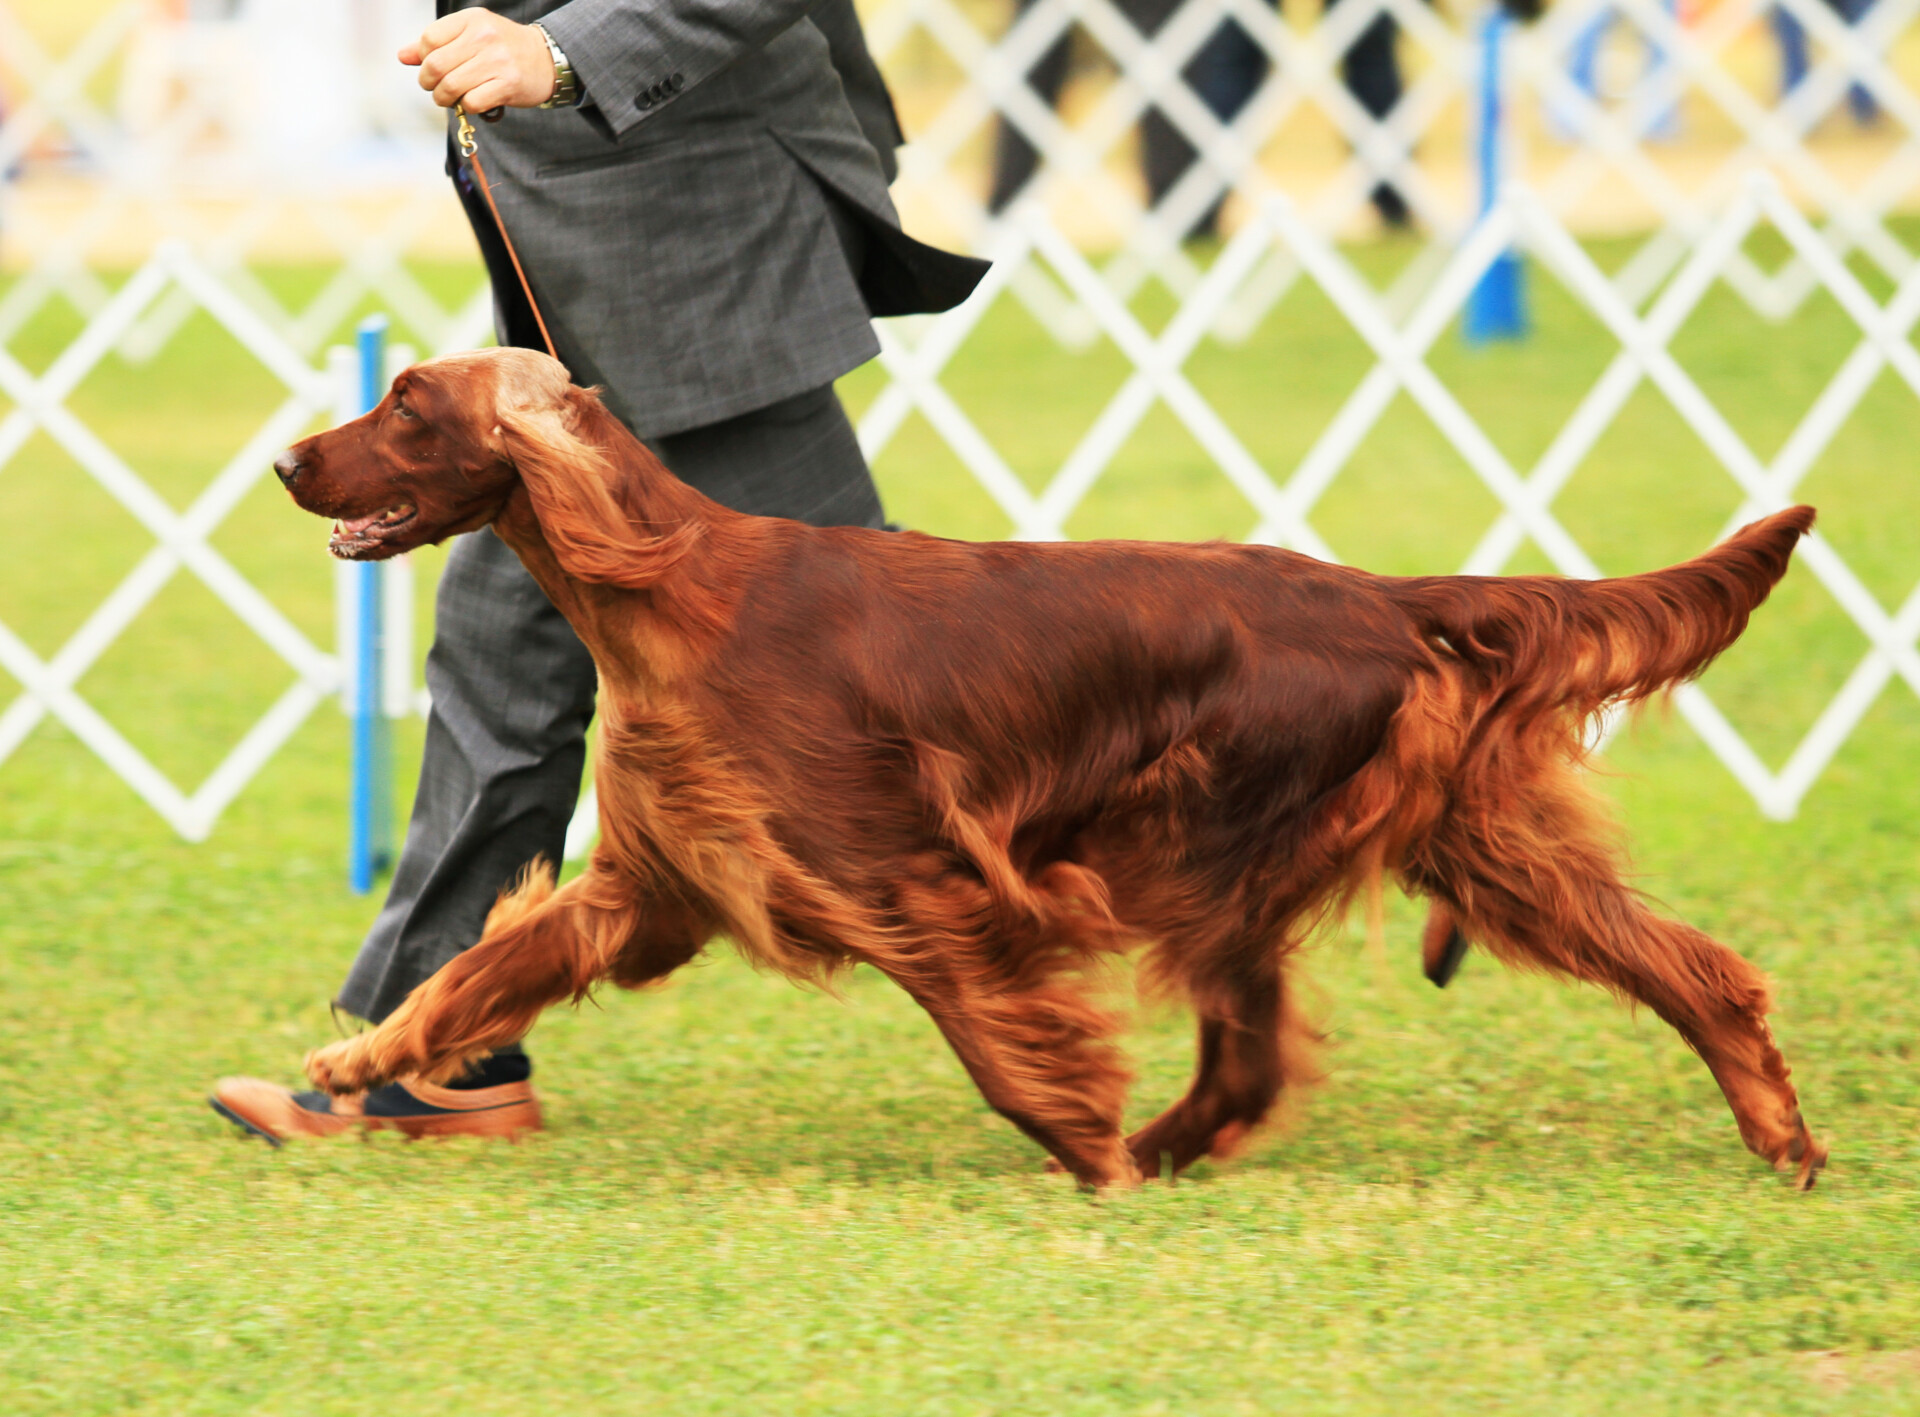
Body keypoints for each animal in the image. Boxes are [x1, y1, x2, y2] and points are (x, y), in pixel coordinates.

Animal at [274, 347, 1827, 1190]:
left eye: (404, 401)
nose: (288, 461)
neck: (669, 590)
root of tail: (1383, 597)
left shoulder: (913, 885)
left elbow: (999, 1047)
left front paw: (1084, 1145)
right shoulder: (651, 885)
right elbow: (474, 971)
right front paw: (357, 1060)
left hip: (1205, 844)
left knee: (1250, 1051)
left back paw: (1149, 1148)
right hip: (1470, 847)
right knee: (1693, 971)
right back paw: (1784, 1136)